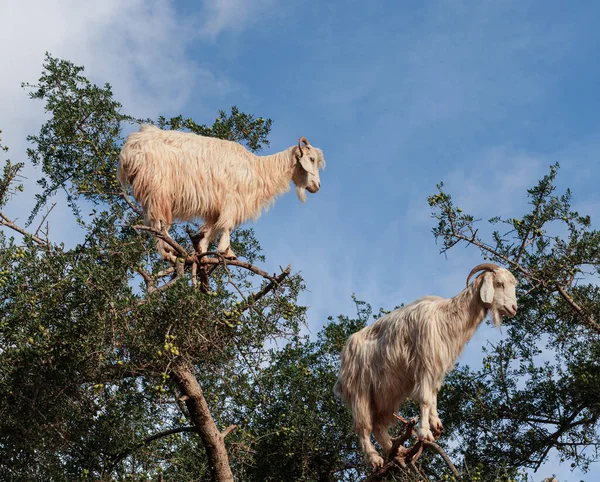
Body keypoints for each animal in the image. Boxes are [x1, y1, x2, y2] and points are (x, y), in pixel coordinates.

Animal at [116, 124, 324, 260]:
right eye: (311, 159)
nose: (317, 186)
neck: (257, 169)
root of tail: (131, 147)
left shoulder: (216, 208)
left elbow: (212, 230)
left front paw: (200, 252)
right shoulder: (231, 200)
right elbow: (227, 226)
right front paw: (227, 251)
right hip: (159, 188)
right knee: (159, 224)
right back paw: (169, 250)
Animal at [336, 264, 516, 466]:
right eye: (499, 283)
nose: (513, 308)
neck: (446, 318)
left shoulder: (437, 367)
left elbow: (434, 395)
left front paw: (436, 424)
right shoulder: (425, 364)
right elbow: (425, 399)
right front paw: (425, 433)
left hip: (386, 392)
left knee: (379, 425)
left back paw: (398, 451)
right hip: (360, 392)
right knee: (363, 426)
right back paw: (375, 459)